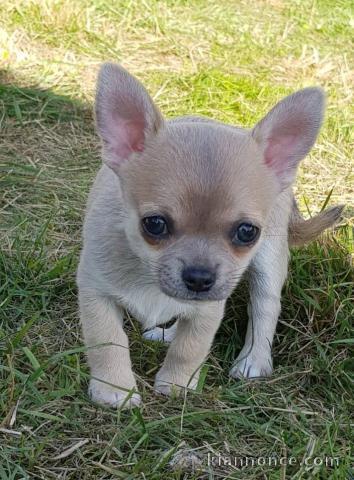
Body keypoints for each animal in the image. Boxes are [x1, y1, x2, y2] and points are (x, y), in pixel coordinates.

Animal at [76, 62, 342, 408]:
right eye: (154, 224)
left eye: (247, 232)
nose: (200, 278)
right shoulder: (96, 293)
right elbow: (107, 341)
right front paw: (114, 389)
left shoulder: (209, 308)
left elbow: (191, 347)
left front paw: (176, 384)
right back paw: (165, 334)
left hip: (269, 261)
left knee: (265, 308)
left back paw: (253, 360)